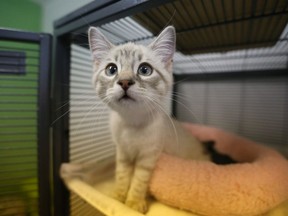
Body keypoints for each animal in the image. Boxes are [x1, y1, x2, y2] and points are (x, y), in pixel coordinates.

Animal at [88, 25, 209, 213]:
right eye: (111, 69)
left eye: (145, 70)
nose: (124, 82)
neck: (131, 124)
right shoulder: (122, 152)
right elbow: (122, 175)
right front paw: (118, 197)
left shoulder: (148, 157)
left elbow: (138, 181)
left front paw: (133, 203)